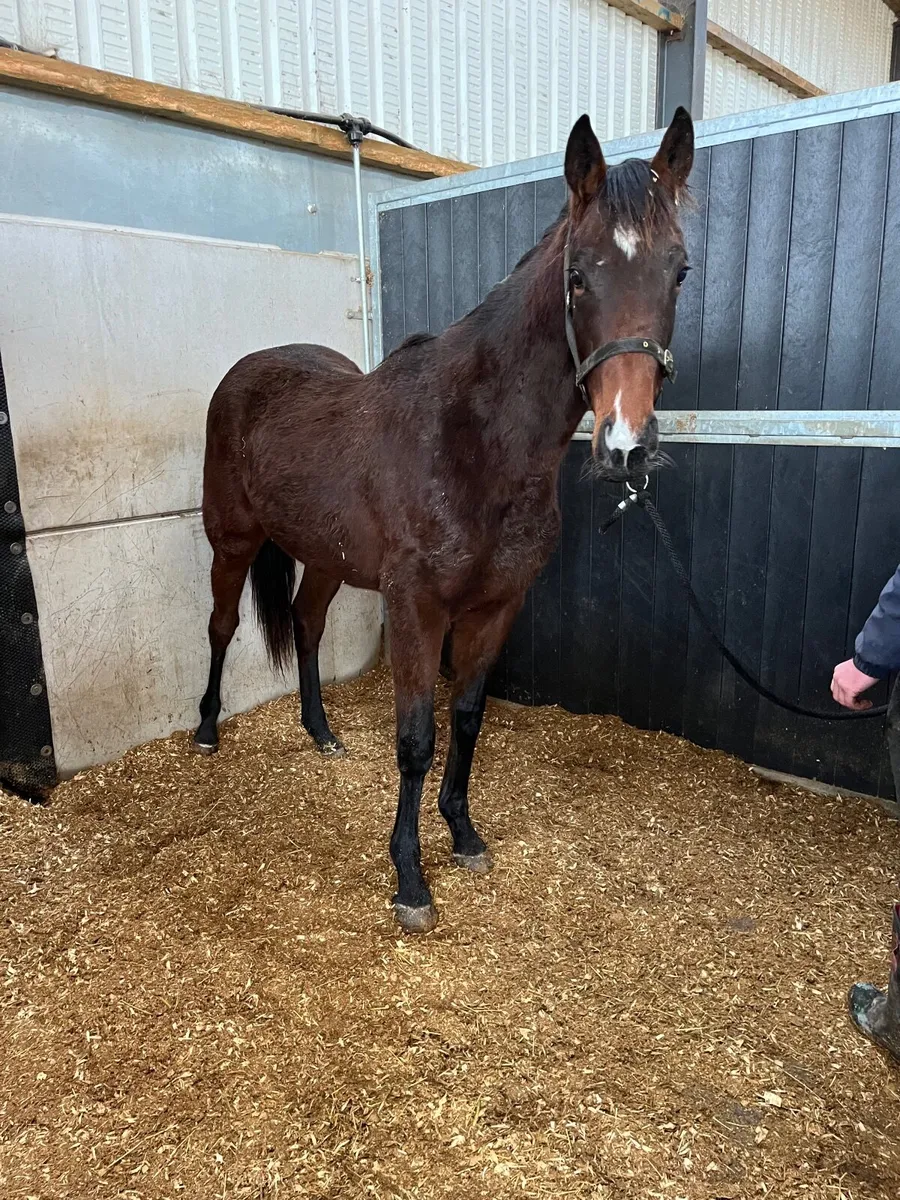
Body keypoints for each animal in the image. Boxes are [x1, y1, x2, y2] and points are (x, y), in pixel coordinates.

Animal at [194, 109, 694, 933]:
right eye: (579, 274)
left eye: (679, 270)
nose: (627, 443)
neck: (472, 442)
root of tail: (245, 371)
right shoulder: (416, 608)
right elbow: (416, 738)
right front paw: (410, 879)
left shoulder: (495, 607)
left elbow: (466, 719)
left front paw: (462, 833)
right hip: (231, 540)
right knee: (222, 625)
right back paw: (205, 731)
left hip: (326, 556)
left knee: (305, 622)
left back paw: (321, 732)